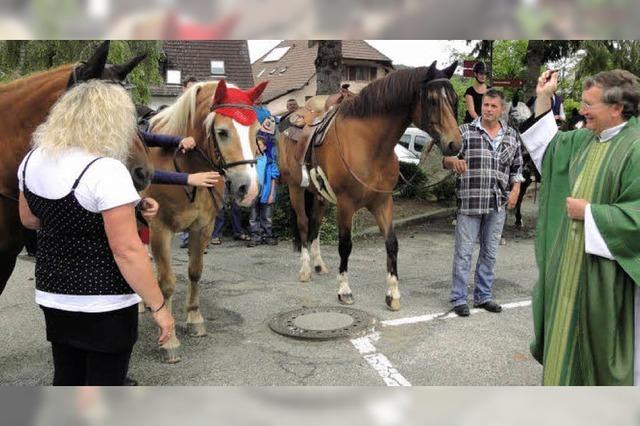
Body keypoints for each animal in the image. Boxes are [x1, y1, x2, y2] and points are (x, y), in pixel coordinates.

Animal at [144, 79, 264, 362]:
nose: (249, 189)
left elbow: (195, 272)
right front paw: (169, 339)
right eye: (222, 132)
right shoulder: (159, 229)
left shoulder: (203, 227)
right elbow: (167, 283)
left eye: (256, 131)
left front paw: (194, 319)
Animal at [278, 60, 462, 310]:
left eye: (454, 99)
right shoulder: (345, 204)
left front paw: (393, 294)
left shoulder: (383, 201)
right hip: (295, 188)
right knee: (304, 224)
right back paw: (305, 269)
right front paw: (344, 290)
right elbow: (345, 245)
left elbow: (392, 243)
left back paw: (318, 264)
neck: (369, 145)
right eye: (432, 100)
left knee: (315, 224)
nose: (455, 144)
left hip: (319, 195)